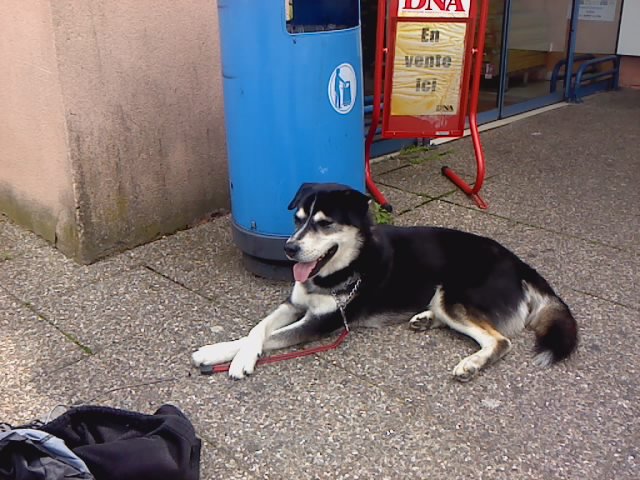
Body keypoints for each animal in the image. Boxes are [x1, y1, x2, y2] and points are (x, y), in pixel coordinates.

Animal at [192, 182, 576, 380]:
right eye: (298, 219)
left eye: (324, 223)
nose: (289, 248)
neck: (347, 267)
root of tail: (518, 263)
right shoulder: (294, 303)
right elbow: (259, 328)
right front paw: (221, 350)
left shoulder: (320, 322)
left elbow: (272, 336)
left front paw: (236, 358)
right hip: (446, 299)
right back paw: (424, 319)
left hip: (455, 295)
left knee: (499, 341)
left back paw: (472, 364)